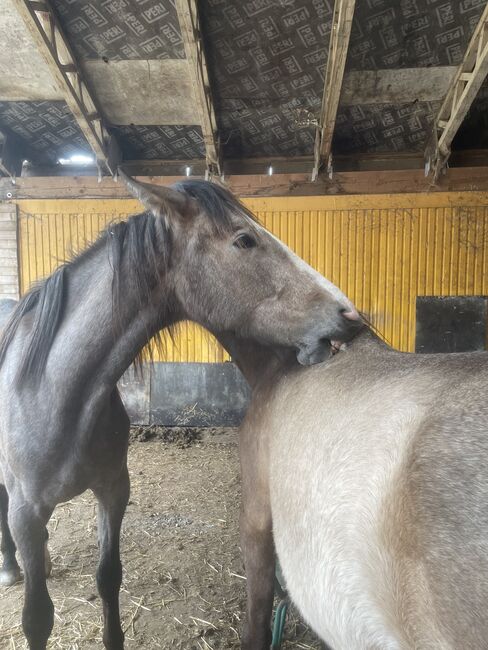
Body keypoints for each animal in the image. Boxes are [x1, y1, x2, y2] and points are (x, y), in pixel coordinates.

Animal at [0, 173, 362, 648]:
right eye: (244, 240)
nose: (350, 315)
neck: (53, 390)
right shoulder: (25, 511)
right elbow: (37, 617)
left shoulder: (113, 491)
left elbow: (108, 577)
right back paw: (11, 566)